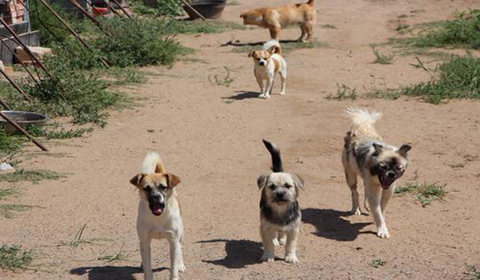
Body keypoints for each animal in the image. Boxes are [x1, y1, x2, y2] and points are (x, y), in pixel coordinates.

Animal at [130, 152, 187, 280]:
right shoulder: (144, 240)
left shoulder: (173, 241)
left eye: (163, 187)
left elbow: (173, 268)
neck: (158, 218)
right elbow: (147, 267)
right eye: (146, 188)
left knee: (180, 247)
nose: (156, 196)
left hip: (181, 232)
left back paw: (181, 264)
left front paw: (176, 269)